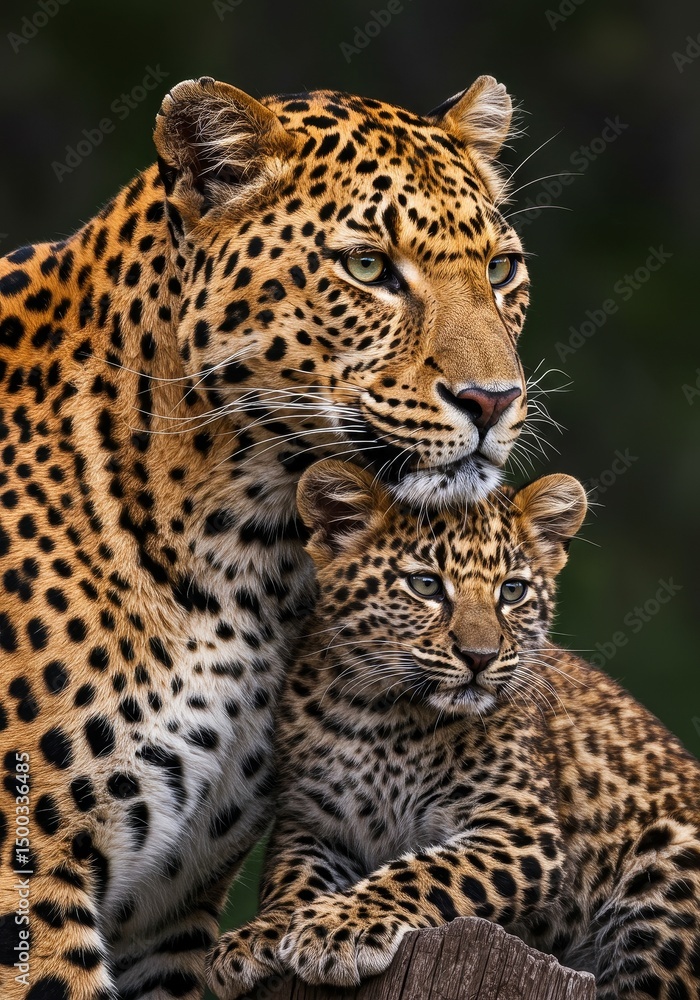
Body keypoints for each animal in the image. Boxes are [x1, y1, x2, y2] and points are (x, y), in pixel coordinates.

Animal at [0, 74, 532, 1000]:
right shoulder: (29, 874)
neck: (246, 549)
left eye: (501, 269)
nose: (494, 400)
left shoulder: (173, 911)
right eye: (368, 267)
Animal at [208, 459, 700, 1000]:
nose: (479, 657)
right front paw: (260, 936)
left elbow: (426, 870)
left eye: (512, 591)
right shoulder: (312, 823)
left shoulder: (521, 829)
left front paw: (337, 928)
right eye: (425, 585)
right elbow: (292, 880)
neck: (383, 718)